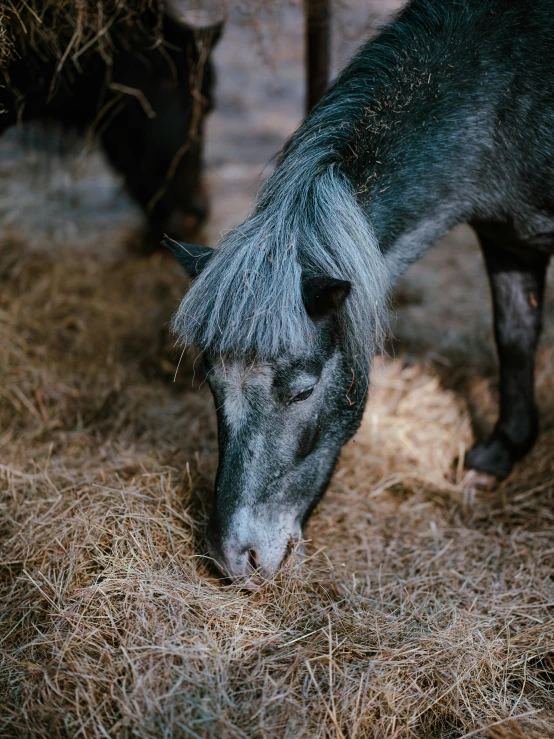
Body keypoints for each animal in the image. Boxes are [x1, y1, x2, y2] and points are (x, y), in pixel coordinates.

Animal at [165, 0, 552, 588]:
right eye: (211, 383)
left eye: (302, 390)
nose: (235, 559)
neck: (513, 89)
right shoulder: (507, 238)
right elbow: (515, 335)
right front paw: (499, 454)